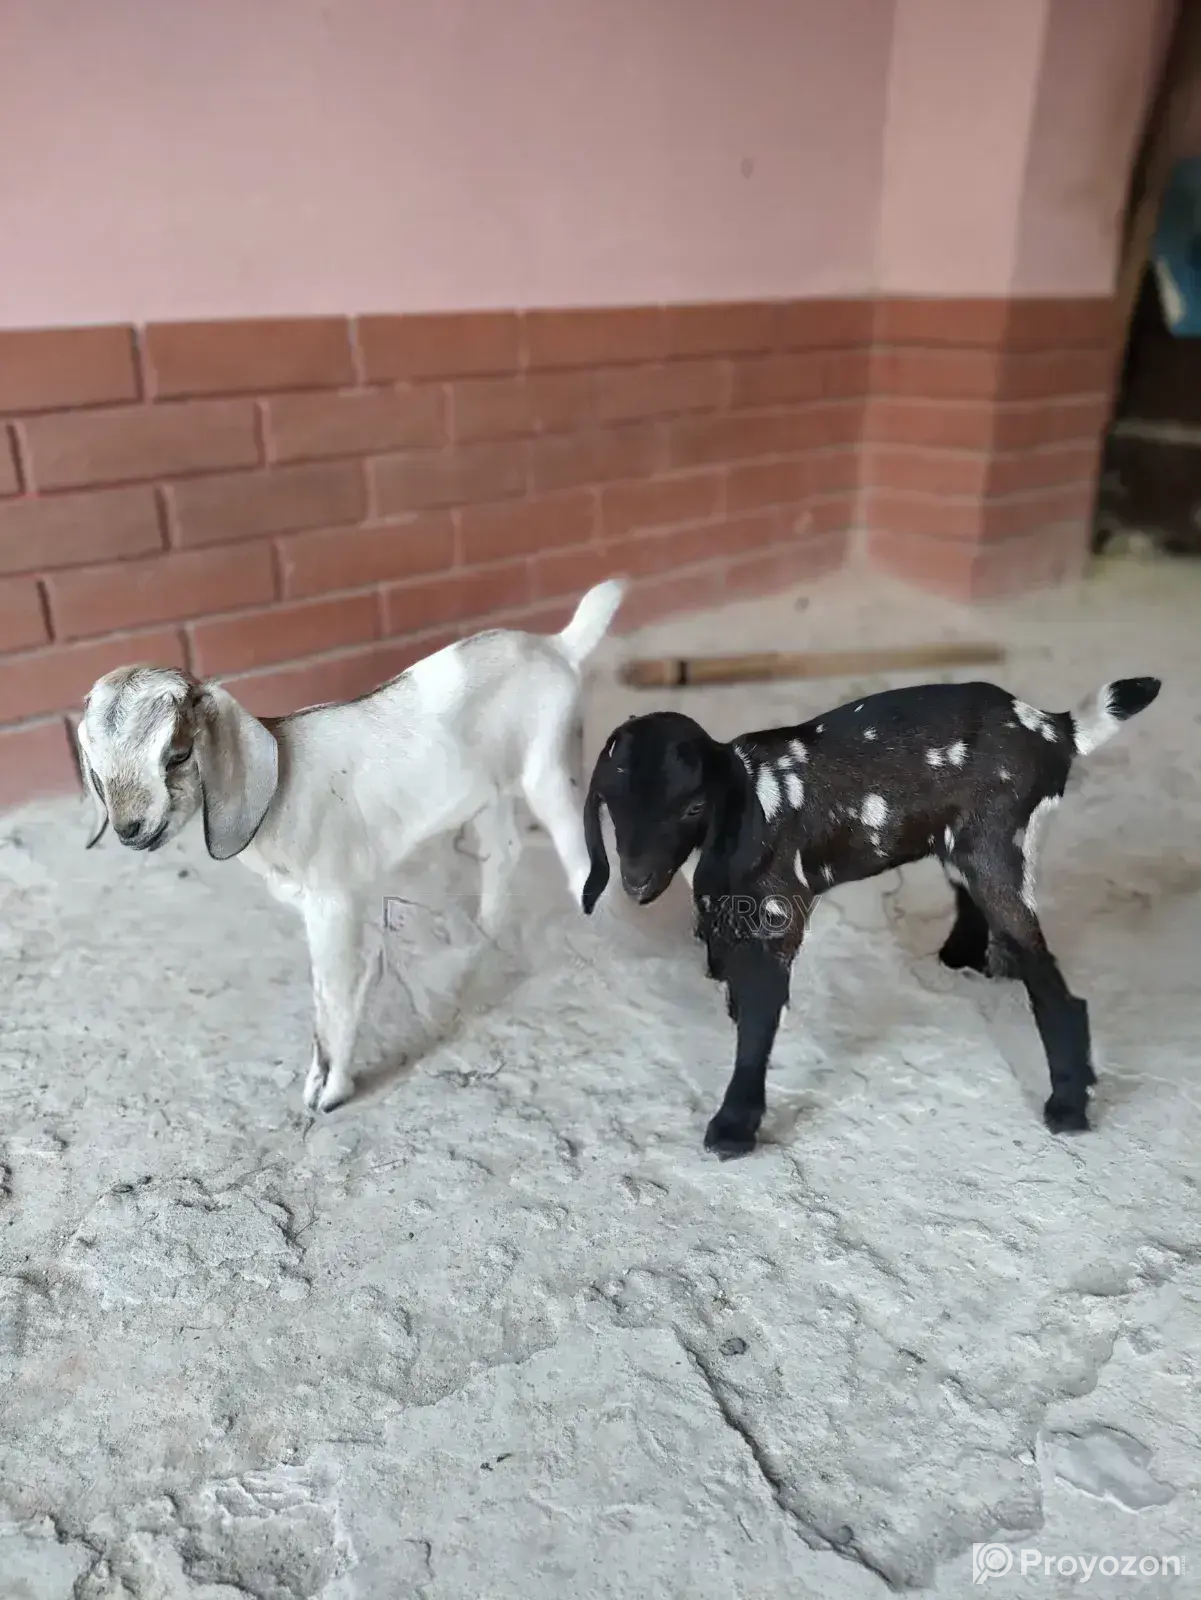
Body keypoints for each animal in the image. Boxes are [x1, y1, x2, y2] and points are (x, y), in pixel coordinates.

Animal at [77, 579, 626, 1113]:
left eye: (178, 753)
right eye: (95, 766)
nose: (129, 829)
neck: (281, 781)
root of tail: (556, 645)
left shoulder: (334, 903)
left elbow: (335, 995)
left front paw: (331, 1091)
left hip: (548, 766)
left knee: (579, 854)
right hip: (486, 791)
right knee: (503, 849)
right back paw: (484, 937)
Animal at [581, 675, 1162, 1158]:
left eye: (693, 808)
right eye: (610, 803)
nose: (636, 882)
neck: (754, 795)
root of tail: (1052, 727)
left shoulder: (778, 921)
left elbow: (757, 1033)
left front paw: (734, 1127)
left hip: (997, 850)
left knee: (1054, 990)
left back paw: (1069, 1105)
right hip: (959, 844)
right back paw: (965, 957)